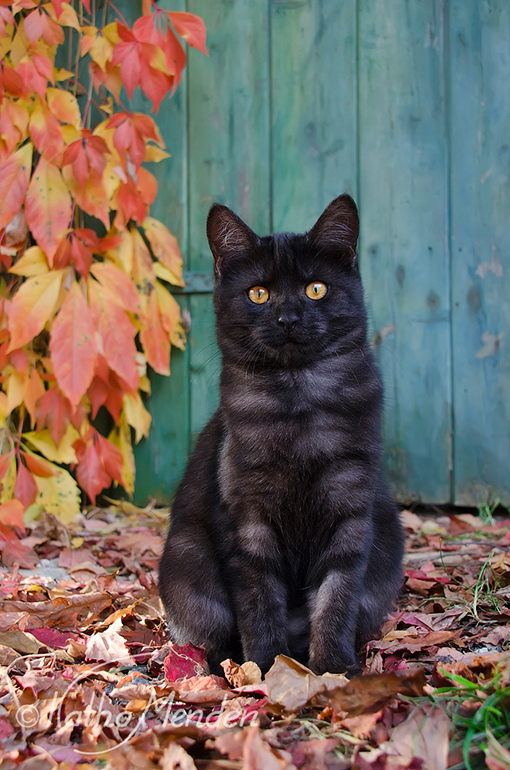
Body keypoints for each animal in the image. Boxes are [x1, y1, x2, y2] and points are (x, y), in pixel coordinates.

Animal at [157, 195, 404, 676]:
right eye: (258, 293)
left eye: (316, 289)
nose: (288, 318)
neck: (298, 404)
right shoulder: (248, 521)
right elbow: (259, 599)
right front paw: (268, 668)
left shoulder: (349, 512)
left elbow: (336, 596)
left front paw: (332, 668)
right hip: (187, 564)